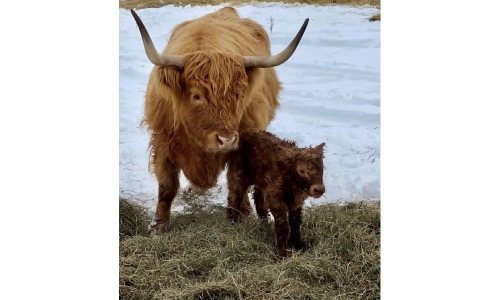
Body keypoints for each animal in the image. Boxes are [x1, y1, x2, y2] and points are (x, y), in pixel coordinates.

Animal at [129, 6, 308, 232]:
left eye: (239, 94)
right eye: (196, 95)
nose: (227, 140)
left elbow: (239, 184)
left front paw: (244, 215)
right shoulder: (162, 139)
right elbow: (167, 187)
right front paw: (158, 226)